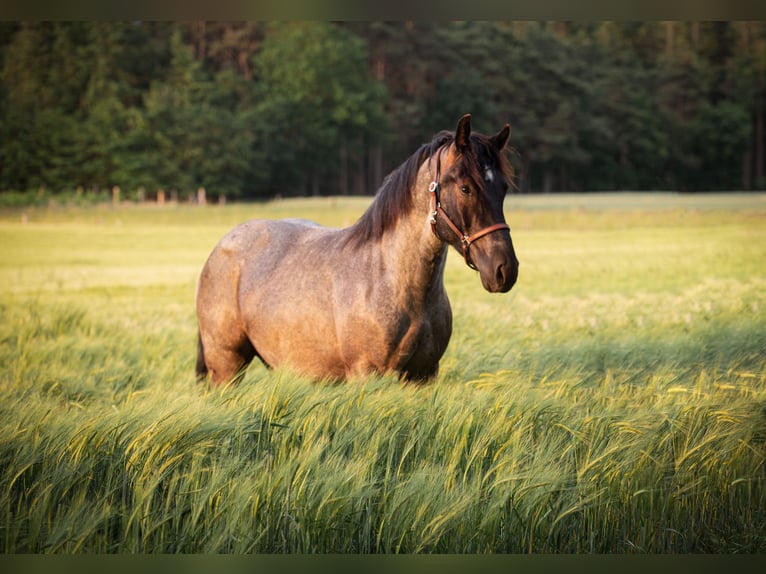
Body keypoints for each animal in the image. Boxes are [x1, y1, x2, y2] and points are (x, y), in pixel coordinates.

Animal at [198, 115, 520, 388]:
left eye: (503, 188)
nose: (504, 269)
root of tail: (224, 244)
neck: (388, 279)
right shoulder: (366, 374)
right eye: (466, 188)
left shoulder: (423, 375)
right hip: (226, 366)